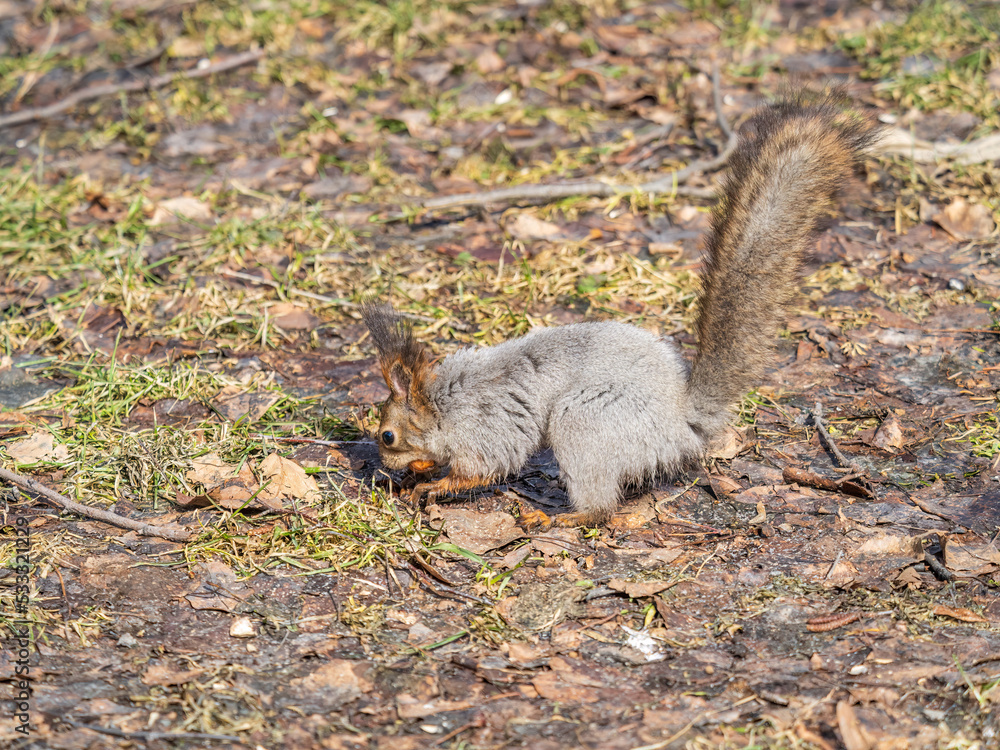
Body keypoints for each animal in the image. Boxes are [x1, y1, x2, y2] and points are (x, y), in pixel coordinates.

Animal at [361, 94, 879, 527]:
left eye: (388, 436)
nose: (383, 466)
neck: (442, 402)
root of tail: (680, 423)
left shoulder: (486, 427)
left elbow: (484, 468)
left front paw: (432, 485)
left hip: (586, 421)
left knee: (600, 508)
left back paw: (556, 518)